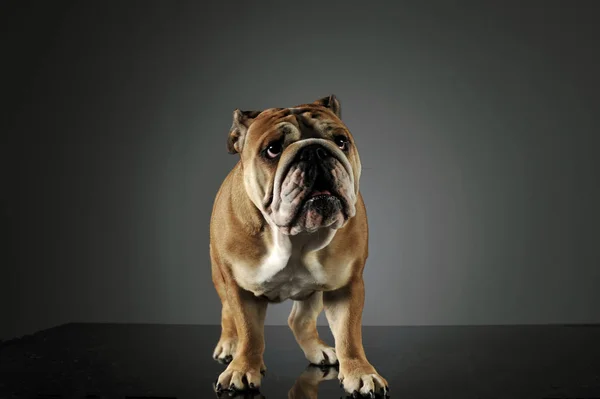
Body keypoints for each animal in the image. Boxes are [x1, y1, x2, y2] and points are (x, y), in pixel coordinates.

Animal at [210, 95, 390, 398]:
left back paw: (318, 351)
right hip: (219, 276)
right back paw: (229, 344)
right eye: (272, 149)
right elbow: (249, 332)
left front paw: (360, 372)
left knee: (299, 320)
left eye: (341, 141)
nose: (315, 150)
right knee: (227, 313)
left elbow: (349, 335)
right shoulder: (239, 287)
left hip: (314, 290)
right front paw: (243, 368)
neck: (293, 235)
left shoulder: (346, 286)